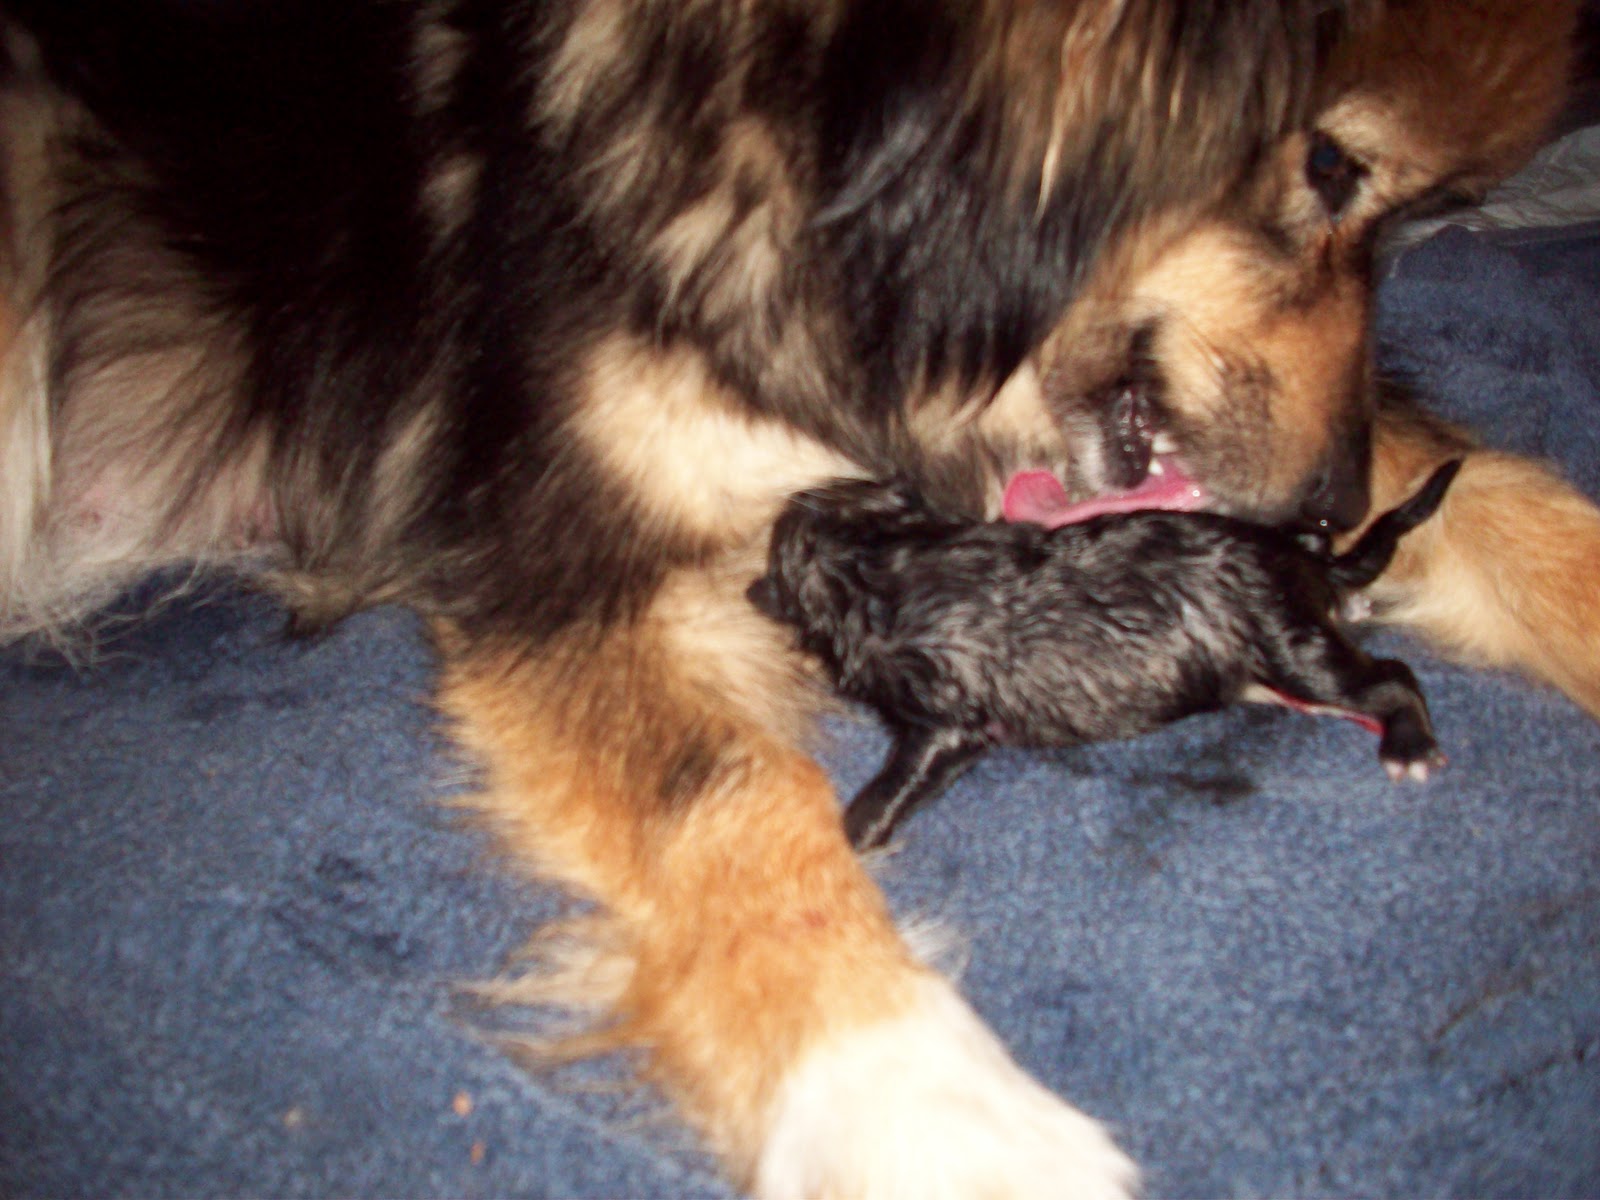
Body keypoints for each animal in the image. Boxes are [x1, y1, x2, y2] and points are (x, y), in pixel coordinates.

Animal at [752, 461, 1460, 850]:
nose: (753, 588)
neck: (881, 559)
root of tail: (1304, 560)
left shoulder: (945, 718)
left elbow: (888, 788)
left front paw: (853, 837)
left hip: (1288, 643)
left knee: (1392, 677)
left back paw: (1410, 748)